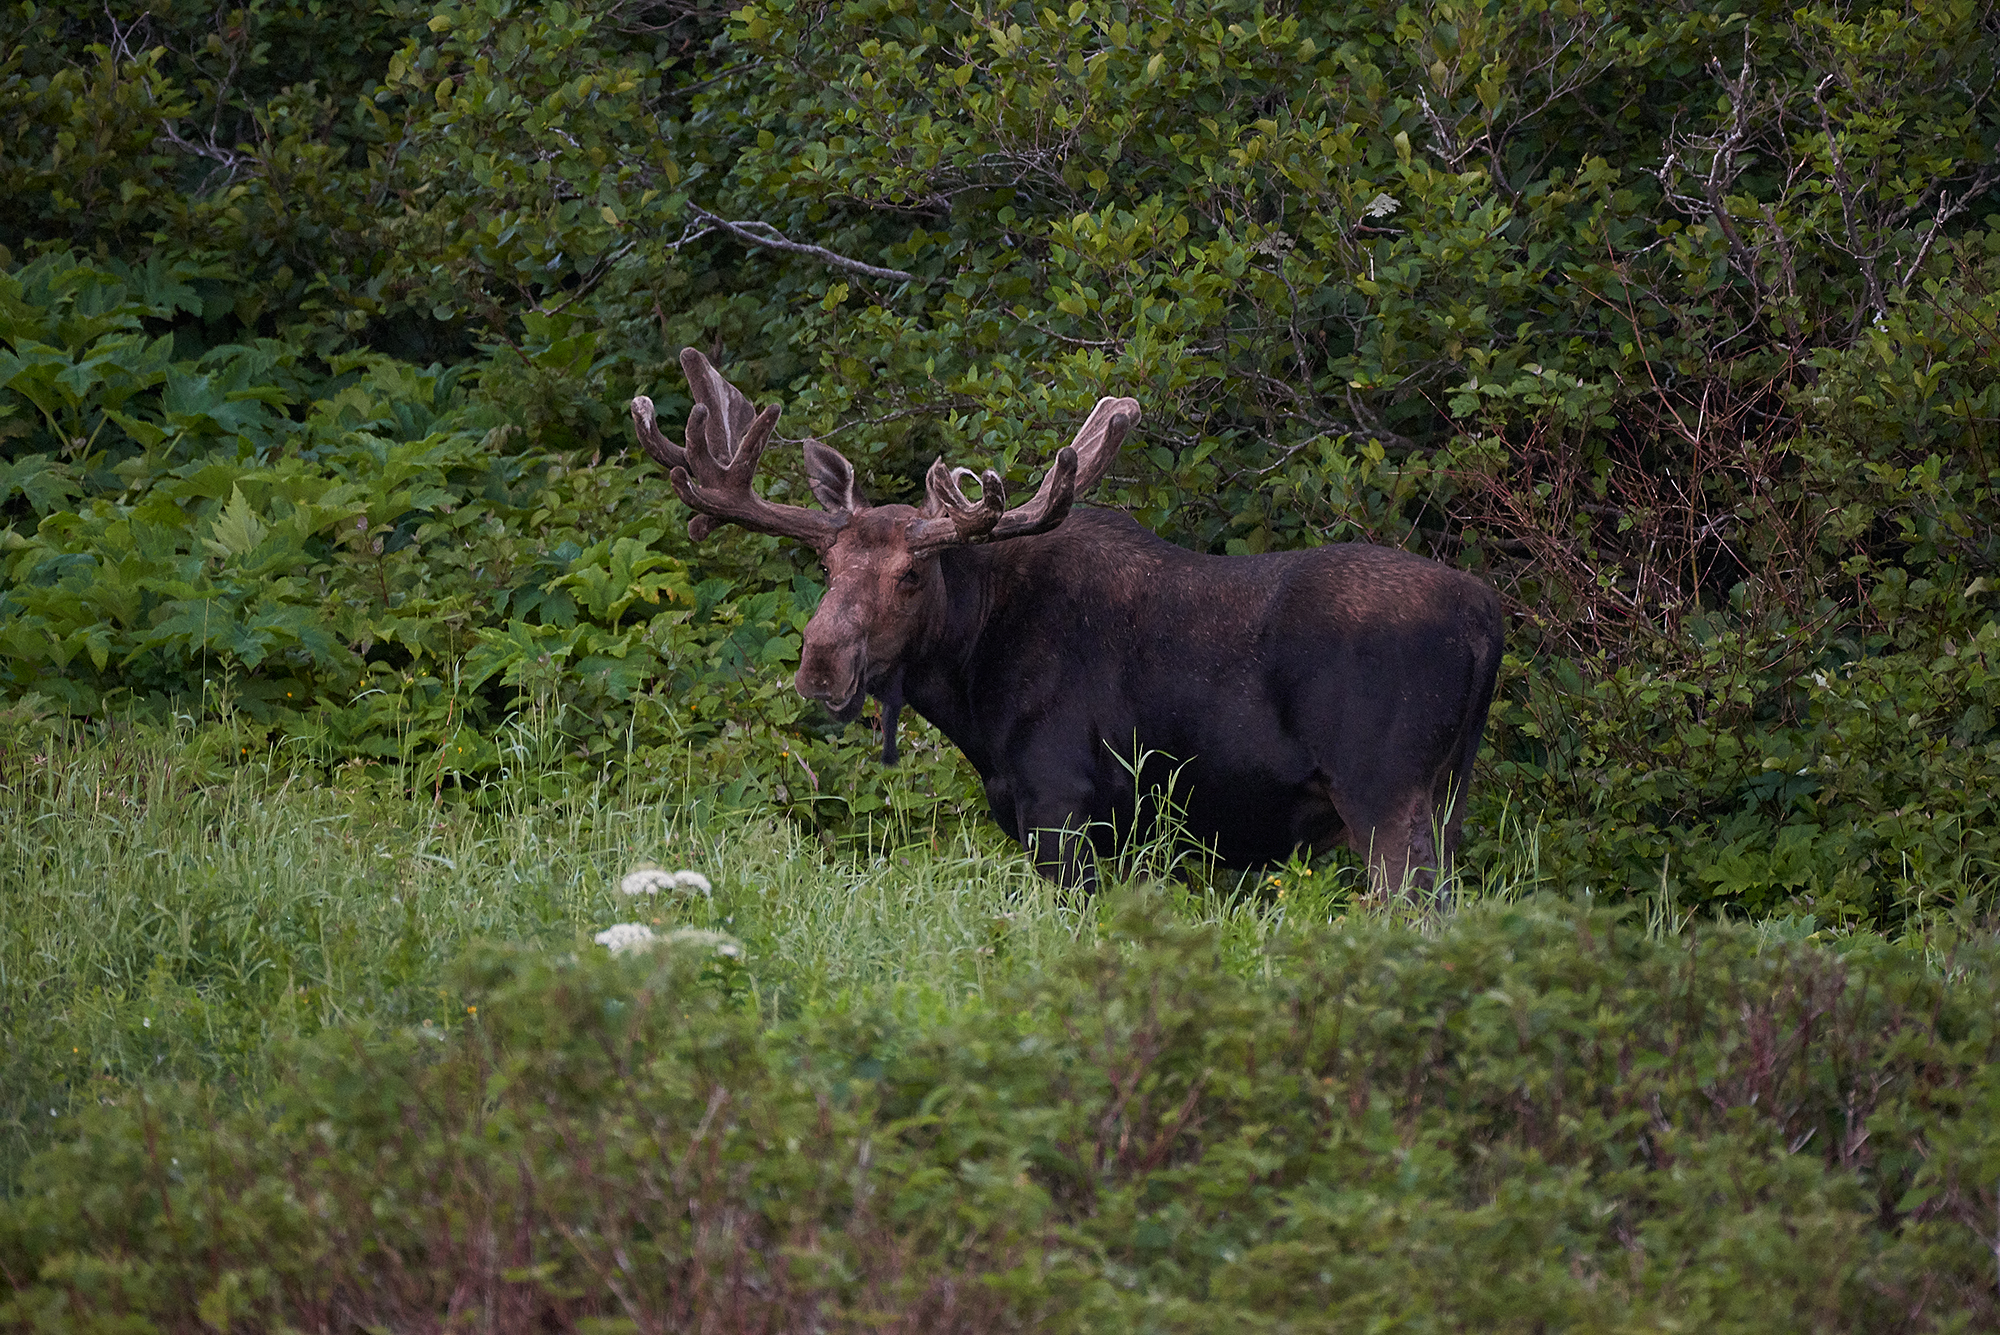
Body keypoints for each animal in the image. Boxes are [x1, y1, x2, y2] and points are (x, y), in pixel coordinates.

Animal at [630, 349, 1504, 893]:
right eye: (827, 565)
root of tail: (1488, 616)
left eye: (911, 574)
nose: (820, 664)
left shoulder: (1060, 802)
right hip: (1443, 798)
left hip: (1384, 792)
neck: (972, 688)